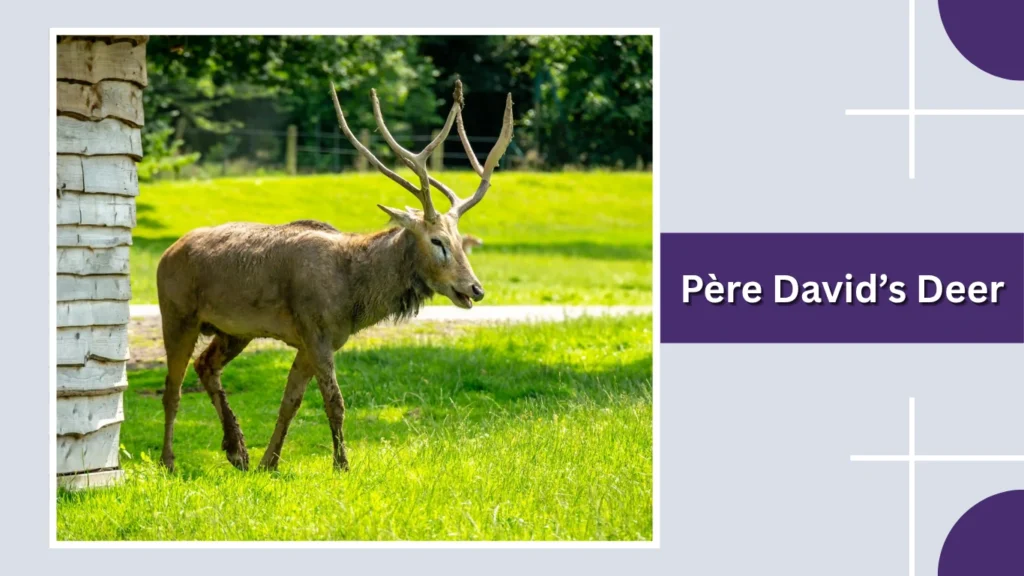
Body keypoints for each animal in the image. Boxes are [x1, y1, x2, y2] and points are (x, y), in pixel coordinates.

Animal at [155, 79, 513, 473]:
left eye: (461, 241)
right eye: (437, 241)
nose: (475, 288)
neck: (354, 298)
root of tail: (167, 253)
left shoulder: (312, 340)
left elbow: (290, 402)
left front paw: (269, 462)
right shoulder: (316, 332)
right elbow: (334, 402)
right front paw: (341, 464)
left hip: (236, 330)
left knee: (205, 366)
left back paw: (237, 451)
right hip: (178, 314)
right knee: (172, 388)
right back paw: (169, 461)